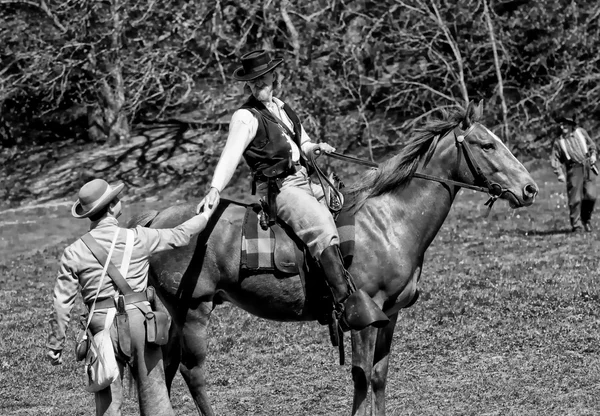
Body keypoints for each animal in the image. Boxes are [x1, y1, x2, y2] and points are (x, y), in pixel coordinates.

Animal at [130, 101, 540, 416]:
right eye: (486, 145)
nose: (529, 189)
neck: (389, 222)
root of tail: (158, 219)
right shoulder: (365, 319)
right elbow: (361, 377)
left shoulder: (390, 316)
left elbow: (378, 377)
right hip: (194, 311)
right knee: (191, 372)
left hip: (176, 315)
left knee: (165, 369)